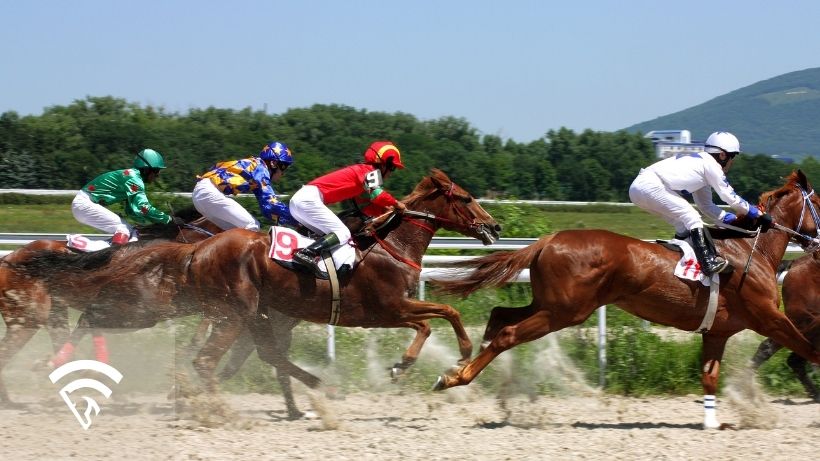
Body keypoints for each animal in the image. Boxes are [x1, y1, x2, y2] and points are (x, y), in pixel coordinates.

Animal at [11, 168, 501, 414]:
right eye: (465, 197)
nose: (494, 227)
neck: (388, 246)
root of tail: (196, 249)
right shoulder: (385, 309)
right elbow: (438, 317)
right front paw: (421, 362)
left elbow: (440, 315)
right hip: (200, 310)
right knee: (191, 353)